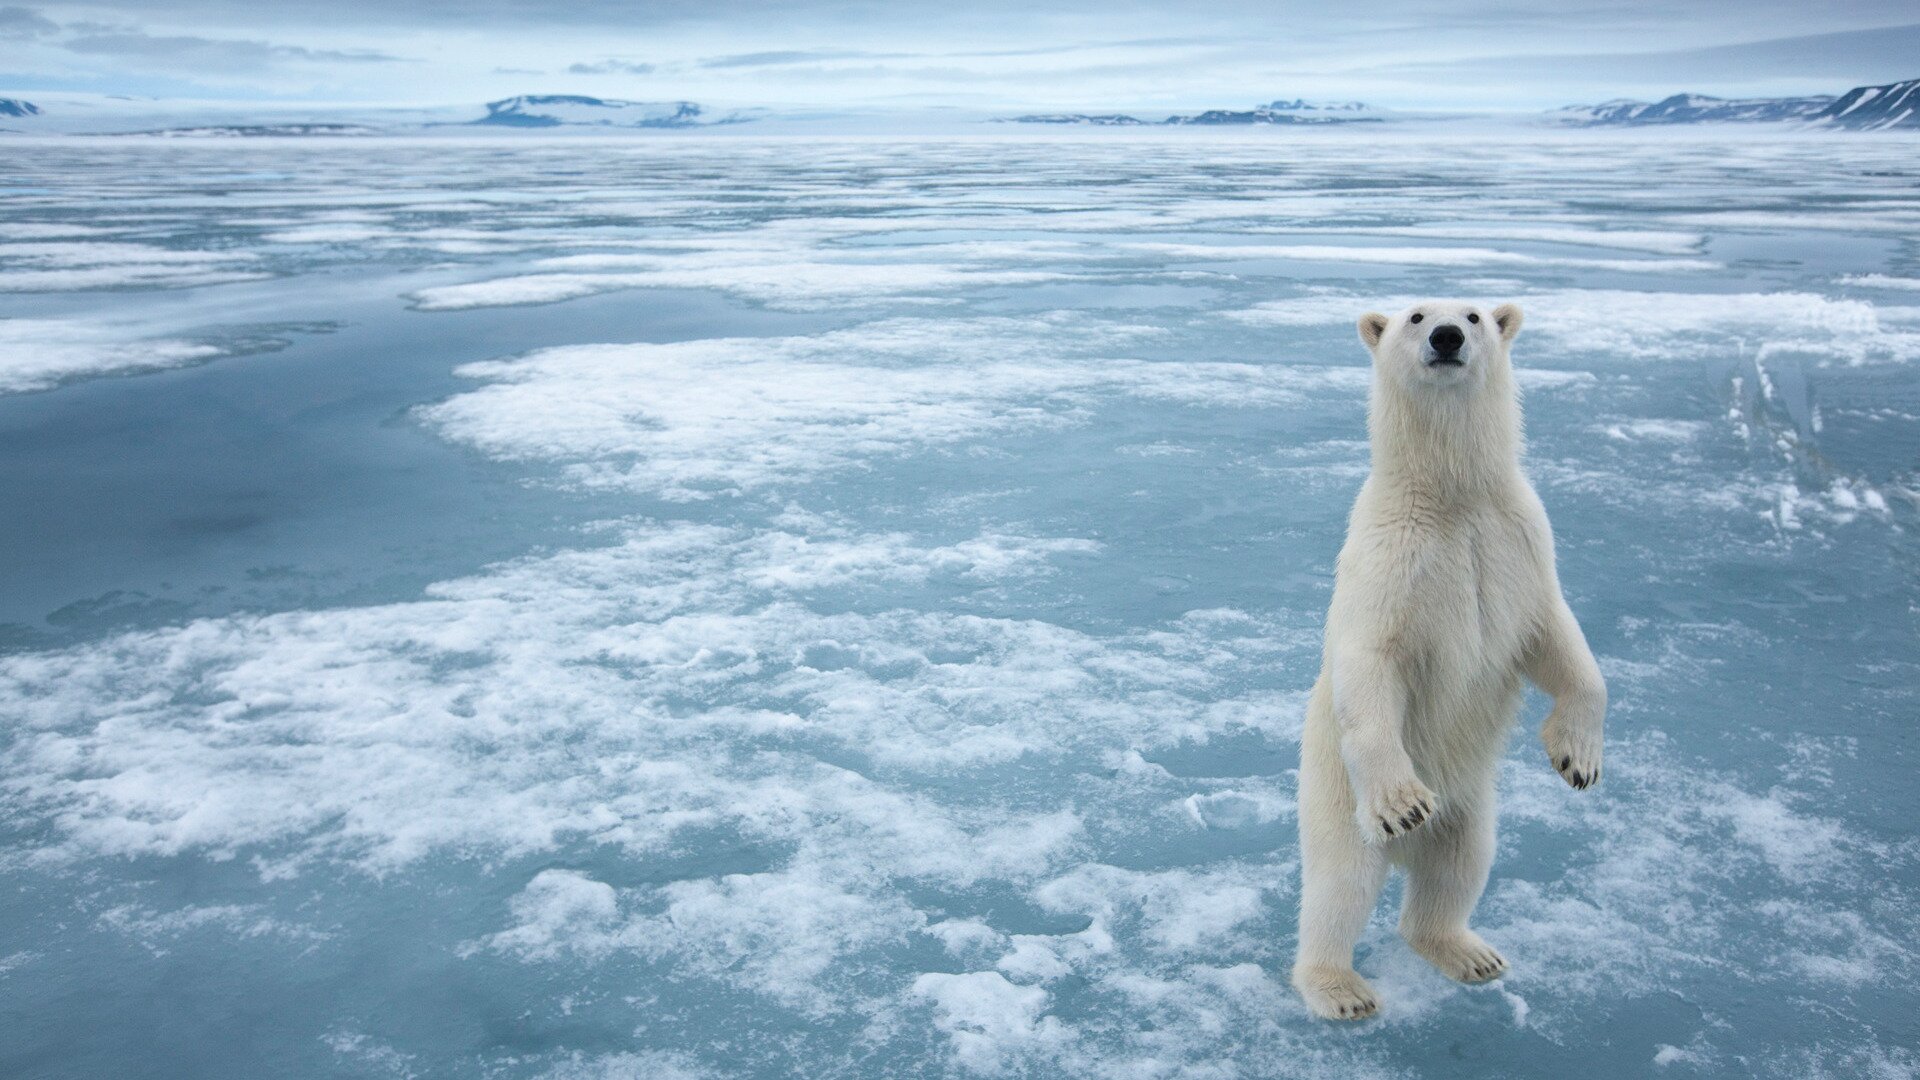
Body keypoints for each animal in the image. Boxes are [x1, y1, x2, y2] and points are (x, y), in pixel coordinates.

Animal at [1290, 299, 1605, 1014]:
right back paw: (1339, 987)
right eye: (1414, 315)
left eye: (1476, 313)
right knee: (1341, 884)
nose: (1447, 336)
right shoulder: (1390, 559)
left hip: (1471, 803)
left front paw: (1577, 759)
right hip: (1334, 793)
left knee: (1461, 866)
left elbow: (1557, 640)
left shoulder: (1519, 542)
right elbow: (1371, 662)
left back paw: (1468, 952)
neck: (1453, 496)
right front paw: (1404, 803)